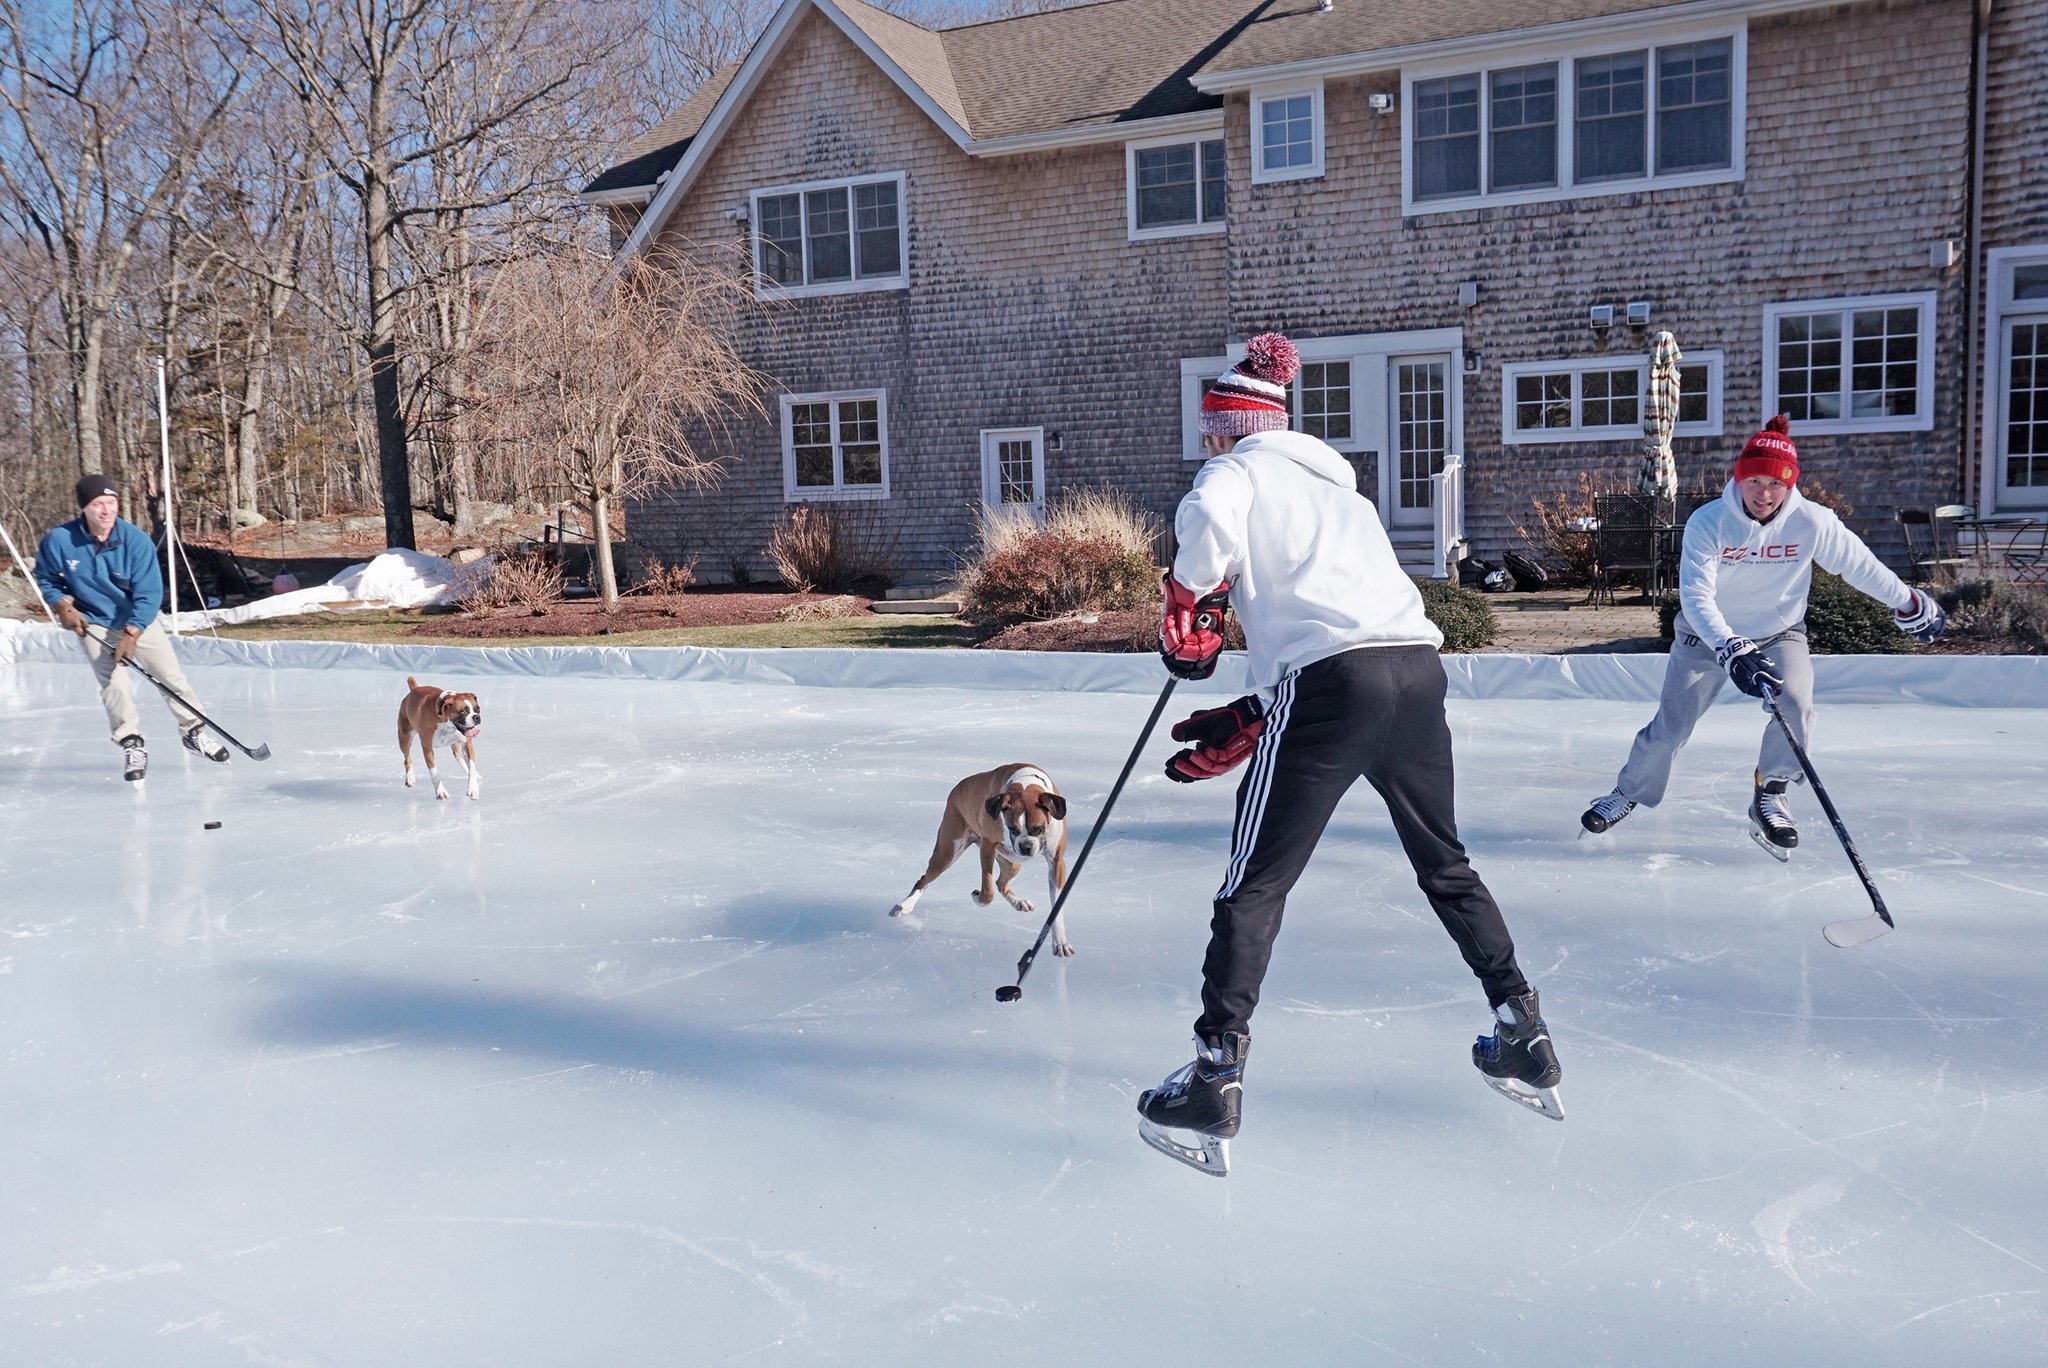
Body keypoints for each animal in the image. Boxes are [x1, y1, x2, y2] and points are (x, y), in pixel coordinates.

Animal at [892, 765, 1081, 958]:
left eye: (1038, 829)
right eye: (1012, 828)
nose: (1025, 846)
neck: (1025, 785)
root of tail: (958, 787)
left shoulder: (1057, 862)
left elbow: (1056, 905)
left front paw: (1060, 942)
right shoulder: (987, 847)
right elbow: (988, 892)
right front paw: (977, 896)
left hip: (1013, 863)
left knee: (1001, 882)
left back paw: (1018, 901)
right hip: (947, 853)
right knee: (924, 880)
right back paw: (905, 905)